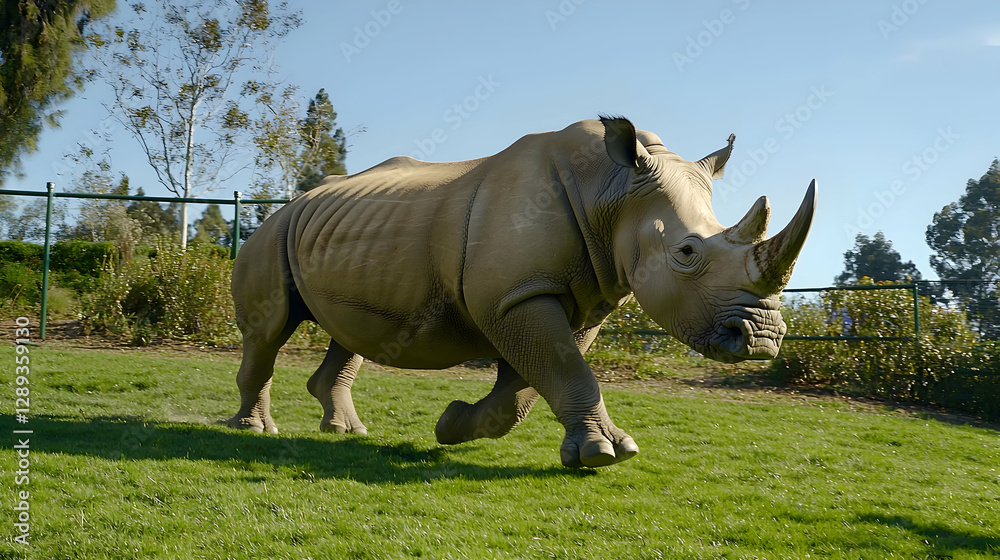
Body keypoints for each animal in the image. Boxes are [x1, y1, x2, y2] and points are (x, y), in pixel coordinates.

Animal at [227, 116, 815, 468]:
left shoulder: (569, 300)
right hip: (271, 234)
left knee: (348, 333)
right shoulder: (517, 295)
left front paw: (451, 425)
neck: (613, 190)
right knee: (269, 331)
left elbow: (529, 387)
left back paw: (345, 432)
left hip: (342, 234)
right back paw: (256, 431)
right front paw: (607, 454)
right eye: (687, 253)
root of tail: (290, 202)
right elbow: (562, 370)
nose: (763, 339)